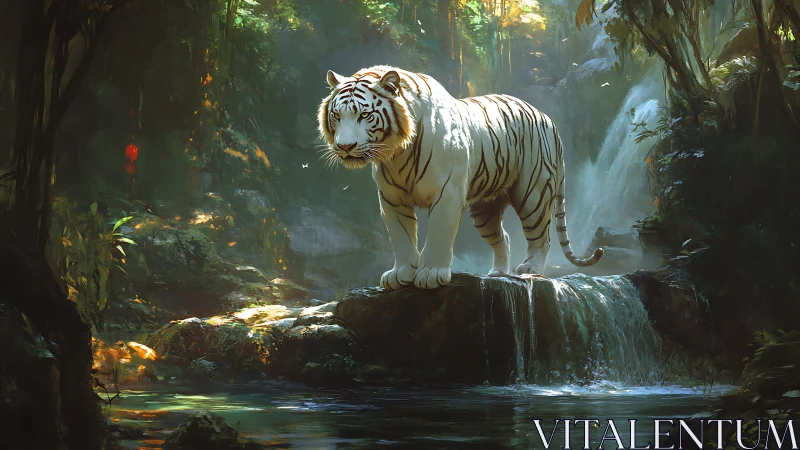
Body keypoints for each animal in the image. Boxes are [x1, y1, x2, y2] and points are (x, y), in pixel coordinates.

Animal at [318, 65, 603, 290]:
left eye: (364, 115)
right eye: (337, 115)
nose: (344, 146)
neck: (396, 154)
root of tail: (547, 118)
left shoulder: (447, 193)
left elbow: (439, 233)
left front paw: (431, 274)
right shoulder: (391, 199)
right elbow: (401, 236)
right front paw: (401, 273)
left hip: (533, 191)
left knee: (541, 235)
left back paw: (530, 269)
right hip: (486, 210)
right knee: (503, 237)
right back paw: (498, 273)